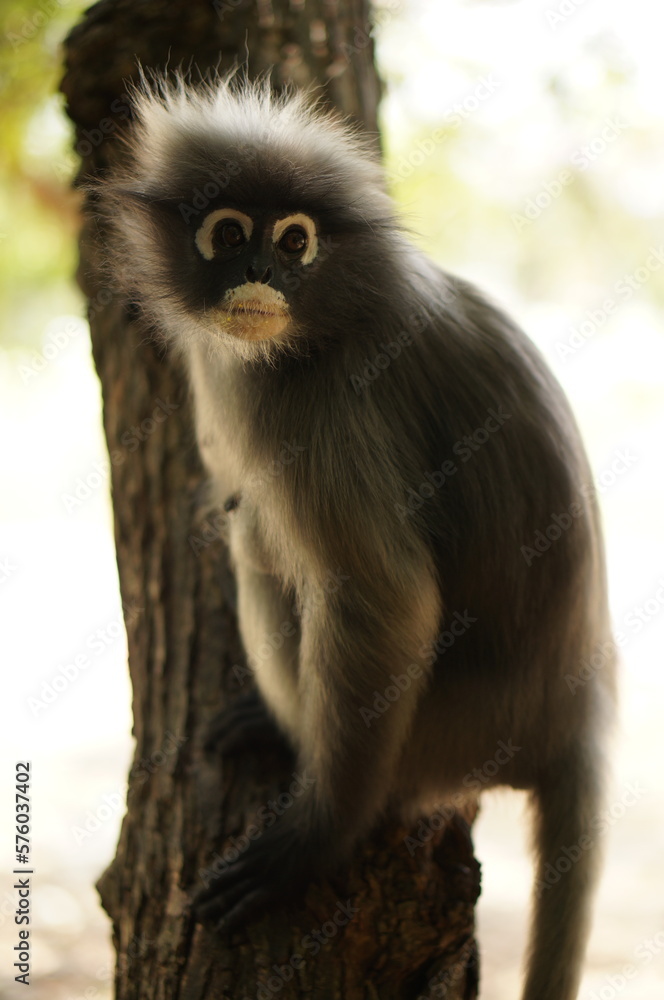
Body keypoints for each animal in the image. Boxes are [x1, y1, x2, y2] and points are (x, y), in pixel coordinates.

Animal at [98, 72, 616, 1000]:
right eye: (229, 233)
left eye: (294, 242)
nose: (260, 271)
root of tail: (576, 707)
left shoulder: (329, 403)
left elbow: (386, 596)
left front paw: (314, 841)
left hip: (437, 738)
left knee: (262, 542)